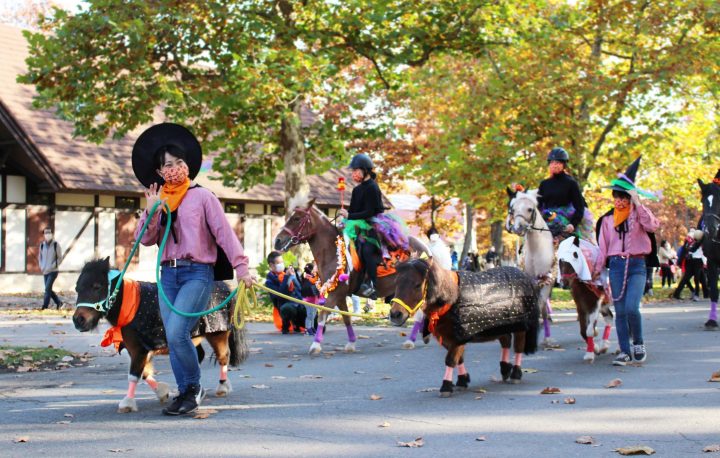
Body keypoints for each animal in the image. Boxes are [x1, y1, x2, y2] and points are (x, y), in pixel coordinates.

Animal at [72, 260, 248, 414]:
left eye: (97, 286)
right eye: (77, 288)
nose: (78, 320)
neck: (131, 304)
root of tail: (225, 286)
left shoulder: (139, 349)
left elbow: (134, 375)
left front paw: (127, 403)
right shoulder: (135, 349)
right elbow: (144, 373)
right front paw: (162, 392)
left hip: (218, 334)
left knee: (223, 357)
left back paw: (222, 387)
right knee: (198, 355)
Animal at [272, 196, 428, 354]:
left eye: (296, 218)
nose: (277, 241)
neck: (332, 252)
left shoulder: (335, 294)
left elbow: (322, 315)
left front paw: (315, 345)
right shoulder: (340, 295)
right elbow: (346, 318)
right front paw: (351, 343)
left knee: (420, 314)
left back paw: (411, 340)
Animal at [390, 260, 536, 396]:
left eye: (417, 284)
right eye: (396, 282)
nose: (395, 314)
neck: (452, 299)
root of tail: (523, 274)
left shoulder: (459, 336)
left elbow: (450, 359)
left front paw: (446, 386)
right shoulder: (448, 337)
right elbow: (458, 359)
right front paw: (462, 380)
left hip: (520, 327)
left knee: (518, 347)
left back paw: (515, 374)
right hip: (500, 326)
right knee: (506, 340)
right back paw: (505, 369)